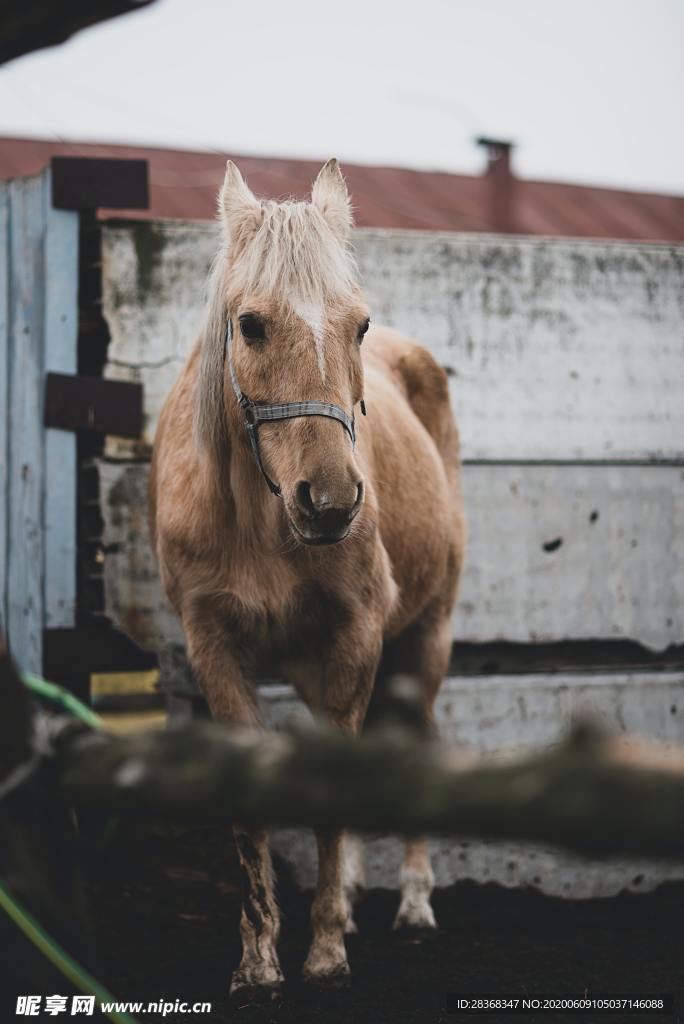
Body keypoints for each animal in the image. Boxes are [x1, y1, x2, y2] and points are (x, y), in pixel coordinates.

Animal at [149, 158, 465, 994]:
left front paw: (324, 954)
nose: (331, 502)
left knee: (420, 741)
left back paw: (412, 903)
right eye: (251, 324)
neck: (259, 521)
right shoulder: (215, 649)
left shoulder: (358, 633)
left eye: (359, 324)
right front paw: (260, 961)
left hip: (426, 640)